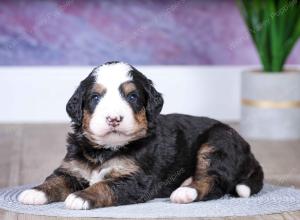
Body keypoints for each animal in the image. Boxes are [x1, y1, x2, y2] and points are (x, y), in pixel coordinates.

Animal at [18, 61, 262, 209]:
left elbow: (105, 185)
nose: (114, 118)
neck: (105, 150)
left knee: (214, 181)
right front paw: (35, 192)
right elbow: (56, 180)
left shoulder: (137, 179)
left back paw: (185, 192)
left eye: (132, 97)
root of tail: (249, 151)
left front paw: (80, 197)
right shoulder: (72, 169)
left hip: (217, 143)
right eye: (95, 98)